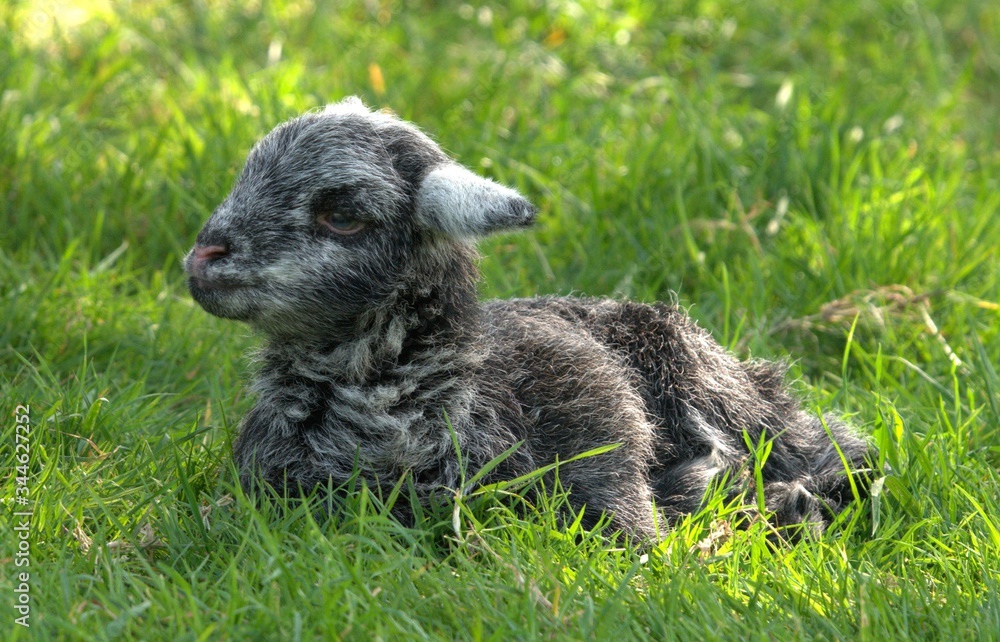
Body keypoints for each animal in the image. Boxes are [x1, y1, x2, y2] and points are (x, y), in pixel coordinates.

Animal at [184, 96, 876, 542]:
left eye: (342, 215)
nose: (203, 256)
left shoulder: (601, 432)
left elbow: (633, 531)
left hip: (719, 388)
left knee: (838, 452)